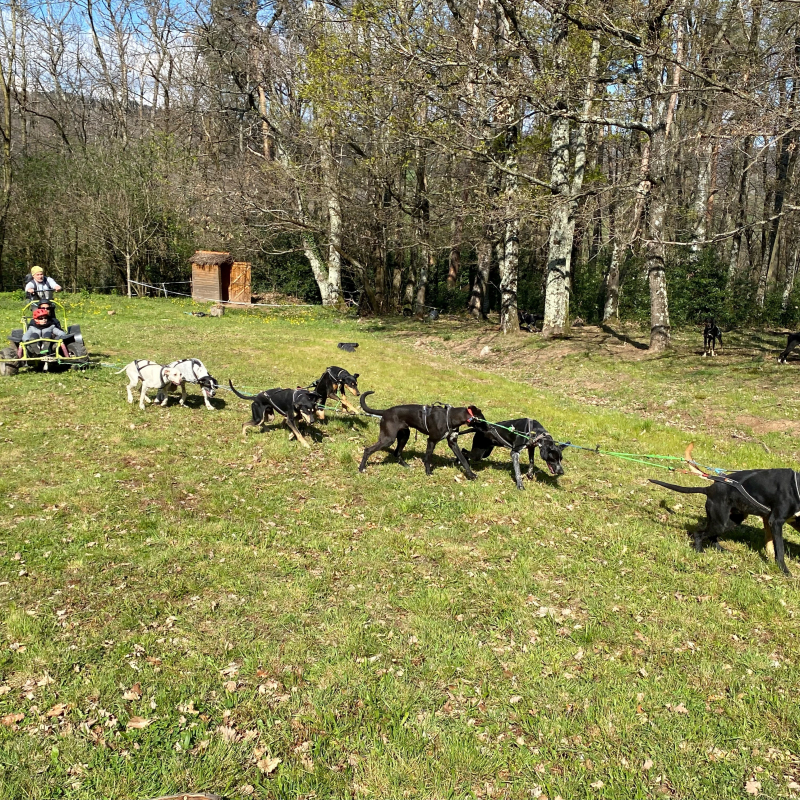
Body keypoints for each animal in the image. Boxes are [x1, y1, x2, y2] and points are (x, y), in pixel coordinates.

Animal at [648, 468, 800, 576]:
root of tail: (709, 489)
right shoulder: (776, 522)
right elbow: (780, 549)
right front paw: (784, 570)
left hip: (730, 521)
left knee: (711, 537)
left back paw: (721, 549)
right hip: (721, 522)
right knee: (698, 534)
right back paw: (699, 550)